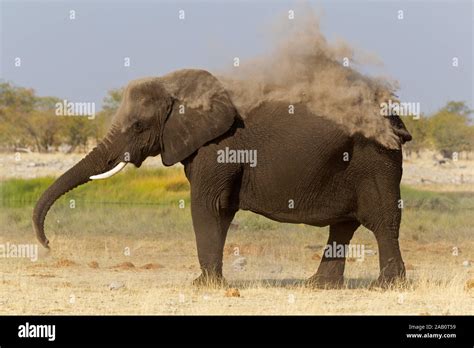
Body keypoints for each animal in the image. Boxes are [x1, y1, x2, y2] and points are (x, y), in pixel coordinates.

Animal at [33, 68, 412, 288]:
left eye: (138, 125)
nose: (49, 244)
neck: (179, 87)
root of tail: (394, 118)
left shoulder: (217, 148)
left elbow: (207, 206)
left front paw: (202, 285)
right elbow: (220, 210)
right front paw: (208, 282)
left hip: (376, 159)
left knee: (382, 220)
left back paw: (387, 286)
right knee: (344, 226)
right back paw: (317, 285)